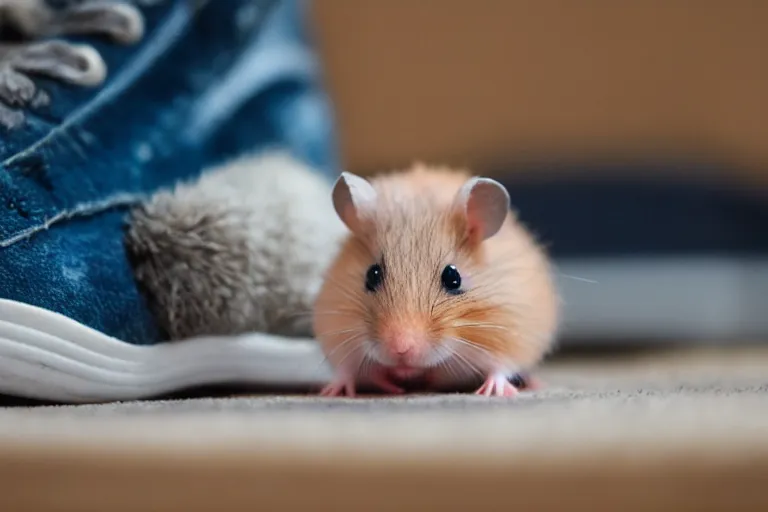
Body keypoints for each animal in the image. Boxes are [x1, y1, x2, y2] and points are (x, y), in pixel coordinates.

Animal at [312, 164, 560, 396]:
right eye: (371, 275)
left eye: (453, 278)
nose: (400, 350)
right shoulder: (336, 329)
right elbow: (347, 369)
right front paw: (334, 391)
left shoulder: (511, 328)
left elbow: (500, 367)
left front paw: (493, 391)